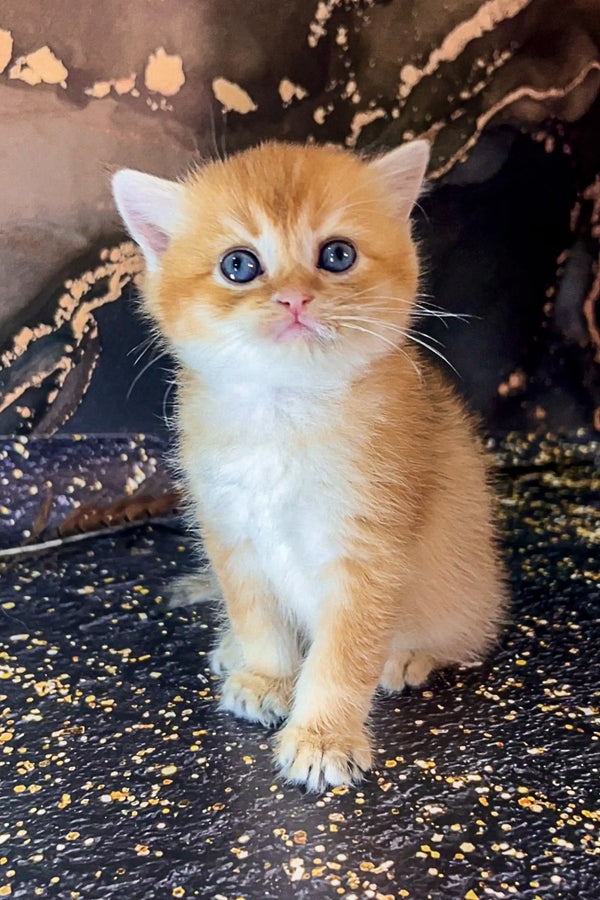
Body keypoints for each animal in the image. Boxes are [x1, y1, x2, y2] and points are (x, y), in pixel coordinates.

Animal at [113, 141, 506, 788]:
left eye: (337, 255)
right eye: (239, 265)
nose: (295, 298)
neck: (285, 415)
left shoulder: (367, 555)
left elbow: (342, 657)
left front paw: (323, 738)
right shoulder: (233, 535)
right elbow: (258, 619)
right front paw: (266, 677)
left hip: (467, 592)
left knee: (465, 632)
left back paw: (409, 655)